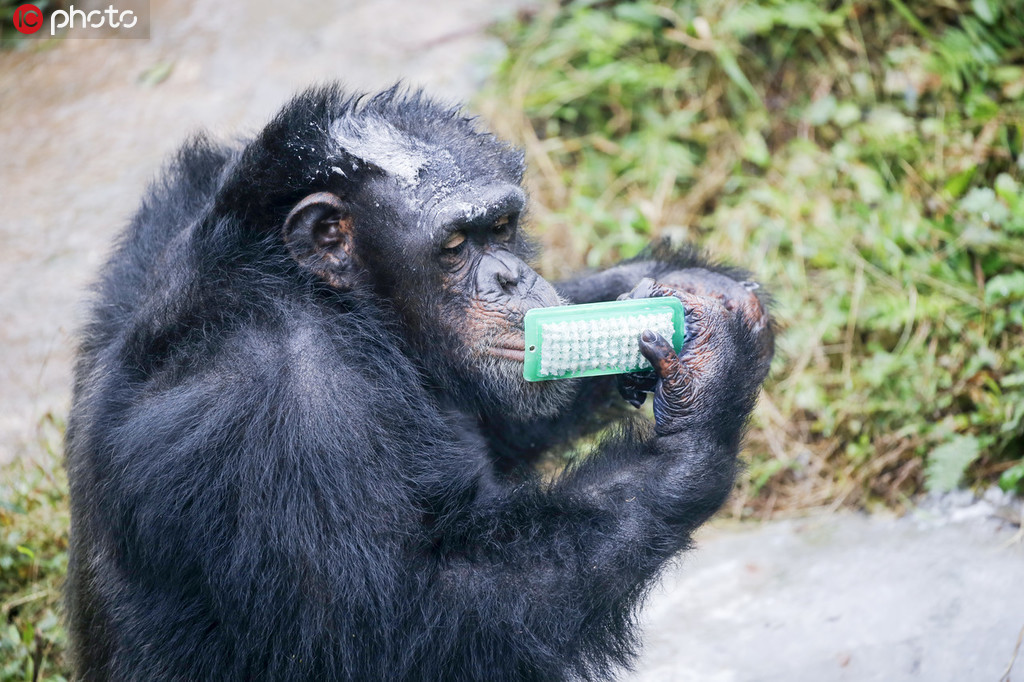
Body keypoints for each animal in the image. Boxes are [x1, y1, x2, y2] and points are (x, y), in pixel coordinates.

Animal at [64, 86, 770, 679]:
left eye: (502, 226)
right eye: (456, 244)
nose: (511, 277)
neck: (333, 301)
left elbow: (505, 422)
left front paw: (681, 285)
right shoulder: (278, 410)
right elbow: (401, 625)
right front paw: (705, 401)